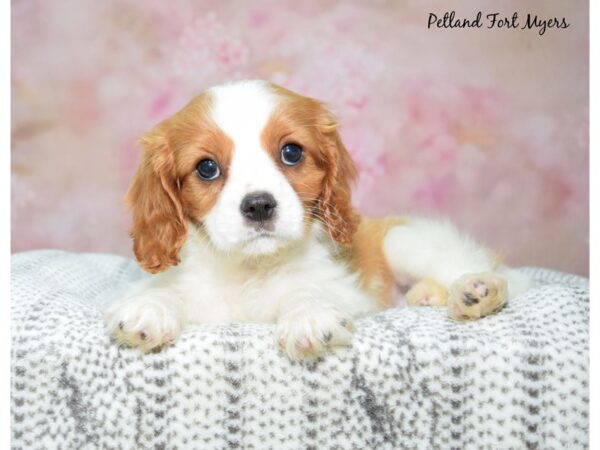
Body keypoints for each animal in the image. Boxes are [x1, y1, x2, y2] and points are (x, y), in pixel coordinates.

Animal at [105, 78, 532, 358]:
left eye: (291, 152)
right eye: (207, 168)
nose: (259, 205)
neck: (252, 268)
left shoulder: (347, 290)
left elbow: (307, 290)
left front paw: (308, 315)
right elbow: (167, 290)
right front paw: (150, 307)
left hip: (407, 242)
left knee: (501, 277)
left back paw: (478, 291)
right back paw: (426, 296)